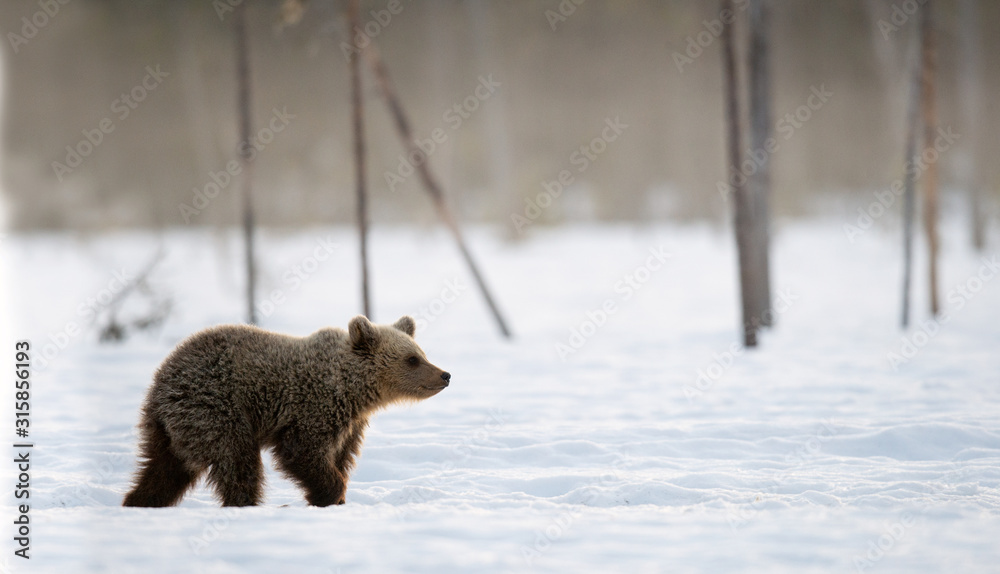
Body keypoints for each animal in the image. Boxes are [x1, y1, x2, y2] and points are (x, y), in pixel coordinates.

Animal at [122, 315, 449, 507]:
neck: (354, 390)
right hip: (216, 408)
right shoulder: (314, 407)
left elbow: (340, 457)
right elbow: (302, 451)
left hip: (170, 429)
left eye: (422, 353)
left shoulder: (351, 425)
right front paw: (329, 493)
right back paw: (244, 503)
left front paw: (333, 497)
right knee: (237, 461)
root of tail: (162, 381)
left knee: (164, 468)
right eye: (412, 359)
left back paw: (139, 500)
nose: (445, 374)